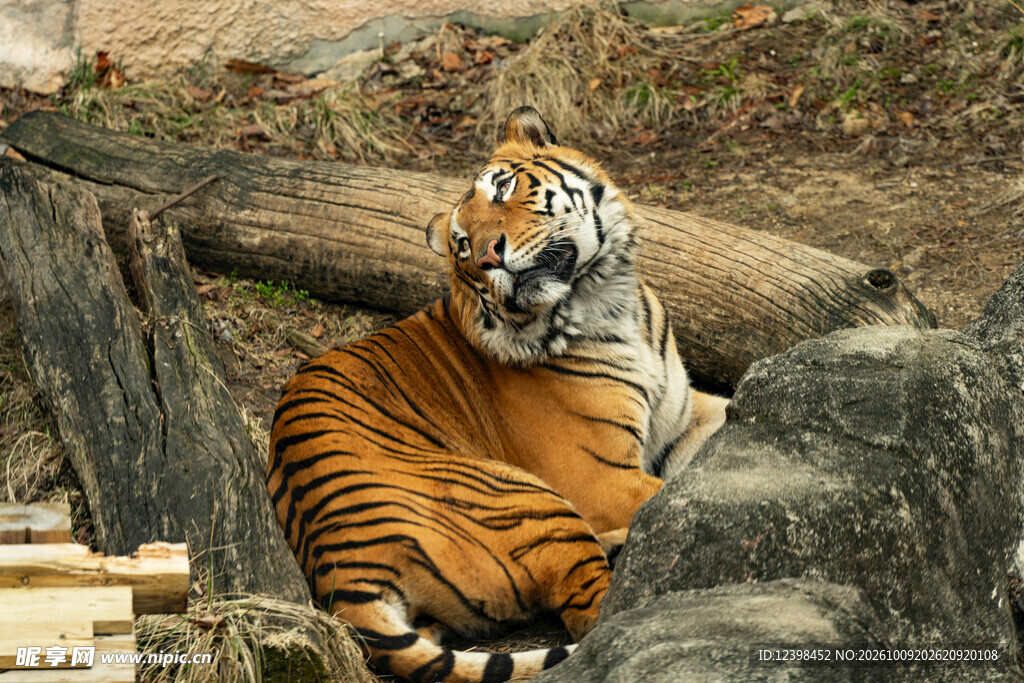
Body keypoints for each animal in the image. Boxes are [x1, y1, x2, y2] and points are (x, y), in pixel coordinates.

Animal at [267, 106, 728, 683]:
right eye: (462, 244)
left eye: (503, 187)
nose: (488, 255)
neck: (606, 300)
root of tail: (340, 571)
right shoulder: (602, 477)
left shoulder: (684, 420)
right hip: (530, 501)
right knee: (597, 612)